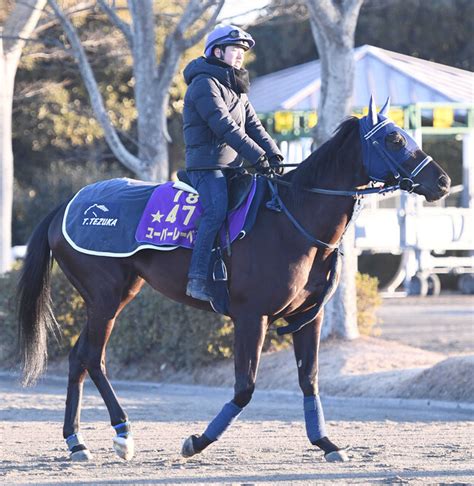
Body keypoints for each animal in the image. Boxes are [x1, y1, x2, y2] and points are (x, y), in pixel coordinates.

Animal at [16, 97, 450, 462]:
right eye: (394, 138)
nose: (442, 181)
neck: (291, 216)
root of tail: (66, 206)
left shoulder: (309, 318)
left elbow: (309, 380)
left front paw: (326, 442)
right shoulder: (251, 317)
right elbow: (245, 388)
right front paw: (197, 441)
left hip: (116, 294)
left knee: (79, 357)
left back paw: (76, 441)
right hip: (105, 297)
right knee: (91, 356)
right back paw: (122, 432)